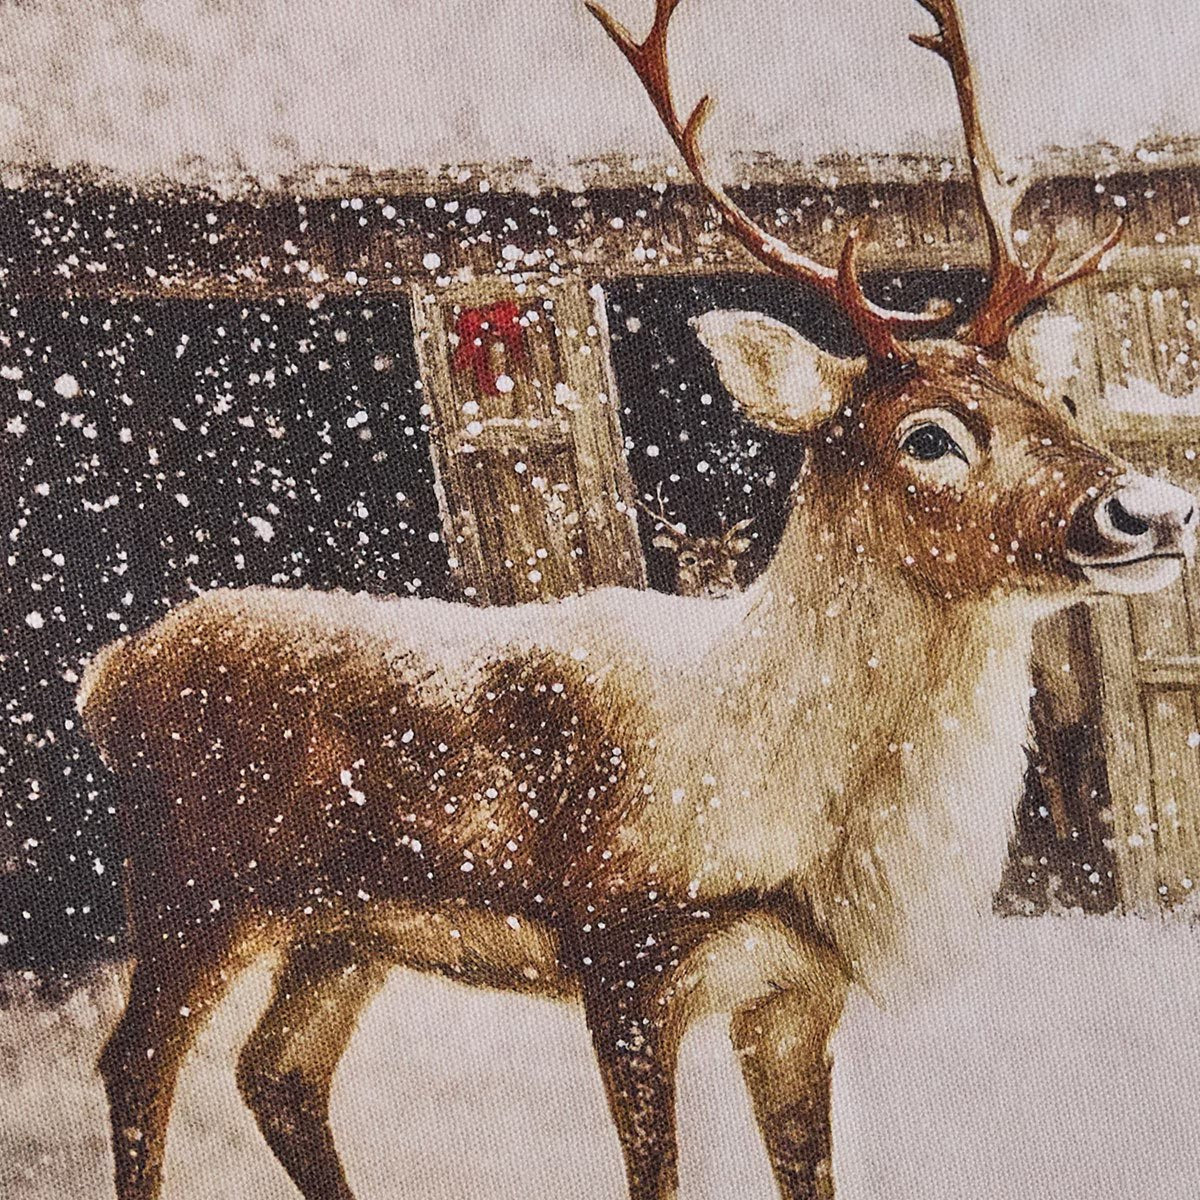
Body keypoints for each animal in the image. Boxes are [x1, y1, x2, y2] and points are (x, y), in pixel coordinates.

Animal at [77, 2, 1196, 1199]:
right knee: (136, 1058)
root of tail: (105, 675)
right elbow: (652, 1174)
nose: (1153, 510)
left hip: (340, 929)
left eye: (1054, 400)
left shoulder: (796, 992)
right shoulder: (621, 954)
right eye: (929, 436)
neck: (791, 819)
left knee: (278, 1069)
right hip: (193, 887)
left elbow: (810, 1171)